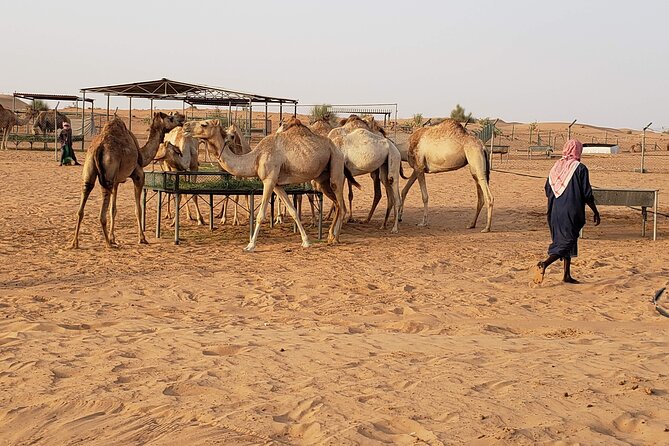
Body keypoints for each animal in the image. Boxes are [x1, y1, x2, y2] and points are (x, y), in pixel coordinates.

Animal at [71, 112, 185, 248]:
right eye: (171, 117)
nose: (182, 117)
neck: (142, 156)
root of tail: (99, 148)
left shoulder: (116, 181)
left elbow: (113, 210)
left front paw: (113, 238)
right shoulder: (138, 175)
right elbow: (138, 209)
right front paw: (142, 238)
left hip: (90, 171)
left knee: (82, 202)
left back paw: (75, 242)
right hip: (108, 176)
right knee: (101, 214)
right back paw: (108, 244)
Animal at [184, 117, 354, 251]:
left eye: (204, 124)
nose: (185, 126)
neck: (255, 158)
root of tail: (339, 150)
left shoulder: (269, 180)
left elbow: (260, 215)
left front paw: (250, 245)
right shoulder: (277, 184)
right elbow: (293, 211)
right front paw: (306, 241)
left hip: (336, 166)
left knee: (341, 204)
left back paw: (335, 238)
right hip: (322, 179)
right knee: (338, 204)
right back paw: (331, 236)